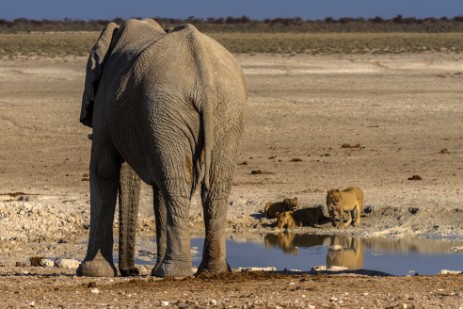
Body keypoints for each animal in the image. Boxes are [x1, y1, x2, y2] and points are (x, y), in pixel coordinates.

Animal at [78, 19, 248, 276]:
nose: (131, 271)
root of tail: (204, 76)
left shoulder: (105, 102)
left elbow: (103, 169)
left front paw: (90, 271)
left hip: (169, 107)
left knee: (175, 182)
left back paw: (172, 272)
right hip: (223, 109)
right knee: (211, 186)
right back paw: (212, 271)